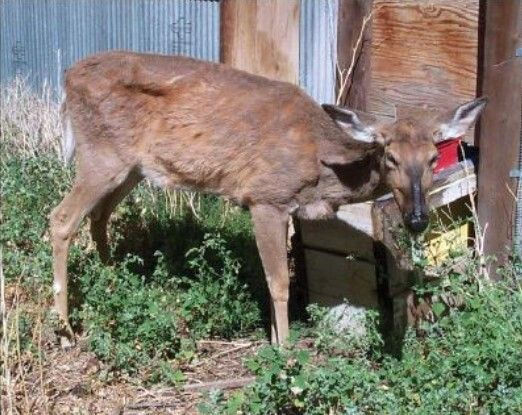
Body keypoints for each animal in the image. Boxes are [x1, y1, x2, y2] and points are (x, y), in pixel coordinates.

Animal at [48, 51, 484, 348]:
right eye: (390, 157)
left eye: (433, 158)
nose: (417, 219)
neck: (321, 164)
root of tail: (67, 77)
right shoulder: (265, 198)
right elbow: (279, 282)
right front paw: (286, 351)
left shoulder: (283, 207)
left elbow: (271, 276)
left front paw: (275, 340)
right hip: (101, 155)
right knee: (61, 219)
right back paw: (66, 329)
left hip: (131, 168)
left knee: (98, 217)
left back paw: (112, 282)